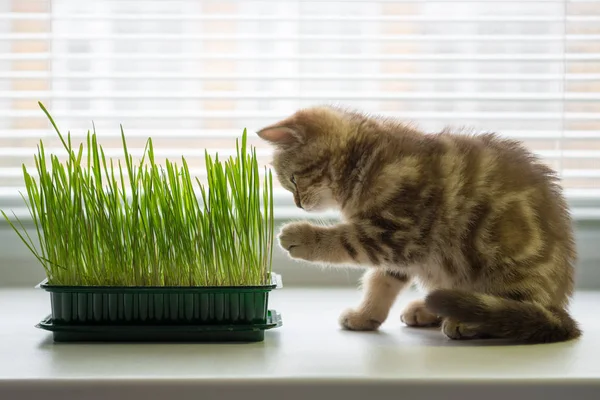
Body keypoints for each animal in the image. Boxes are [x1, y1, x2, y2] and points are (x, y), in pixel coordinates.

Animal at [258, 105, 580, 344]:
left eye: (293, 180)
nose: (299, 204)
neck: (368, 160)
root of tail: (558, 305)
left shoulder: (397, 233)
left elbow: (344, 242)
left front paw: (301, 236)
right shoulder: (399, 249)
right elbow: (380, 281)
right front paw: (366, 316)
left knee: (512, 312)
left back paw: (467, 322)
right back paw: (427, 310)